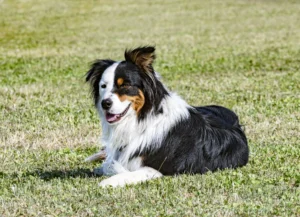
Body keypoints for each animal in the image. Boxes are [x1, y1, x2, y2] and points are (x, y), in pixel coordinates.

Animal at [85, 45, 248, 186]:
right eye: (103, 86)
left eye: (124, 85)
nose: (105, 104)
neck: (142, 119)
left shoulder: (157, 169)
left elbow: (125, 172)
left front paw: (108, 182)